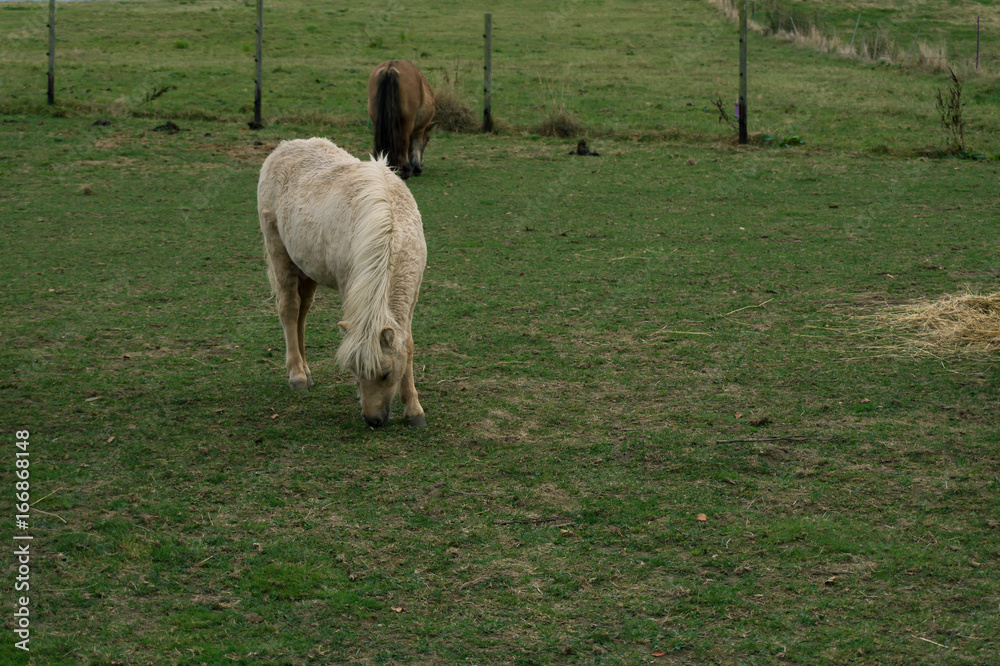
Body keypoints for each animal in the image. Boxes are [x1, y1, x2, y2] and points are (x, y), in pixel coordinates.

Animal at [257, 138, 428, 428]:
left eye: (386, 373)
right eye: (354, 371)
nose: (372, 420)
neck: (391, 233)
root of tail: (283, 147)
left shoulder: (411, 298)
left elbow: (408, 346)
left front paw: (414, 410)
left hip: (307, 269)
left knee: (302, 312)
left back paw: (307, 371)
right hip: (280, 254)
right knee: (289, 310)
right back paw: (297, 376)